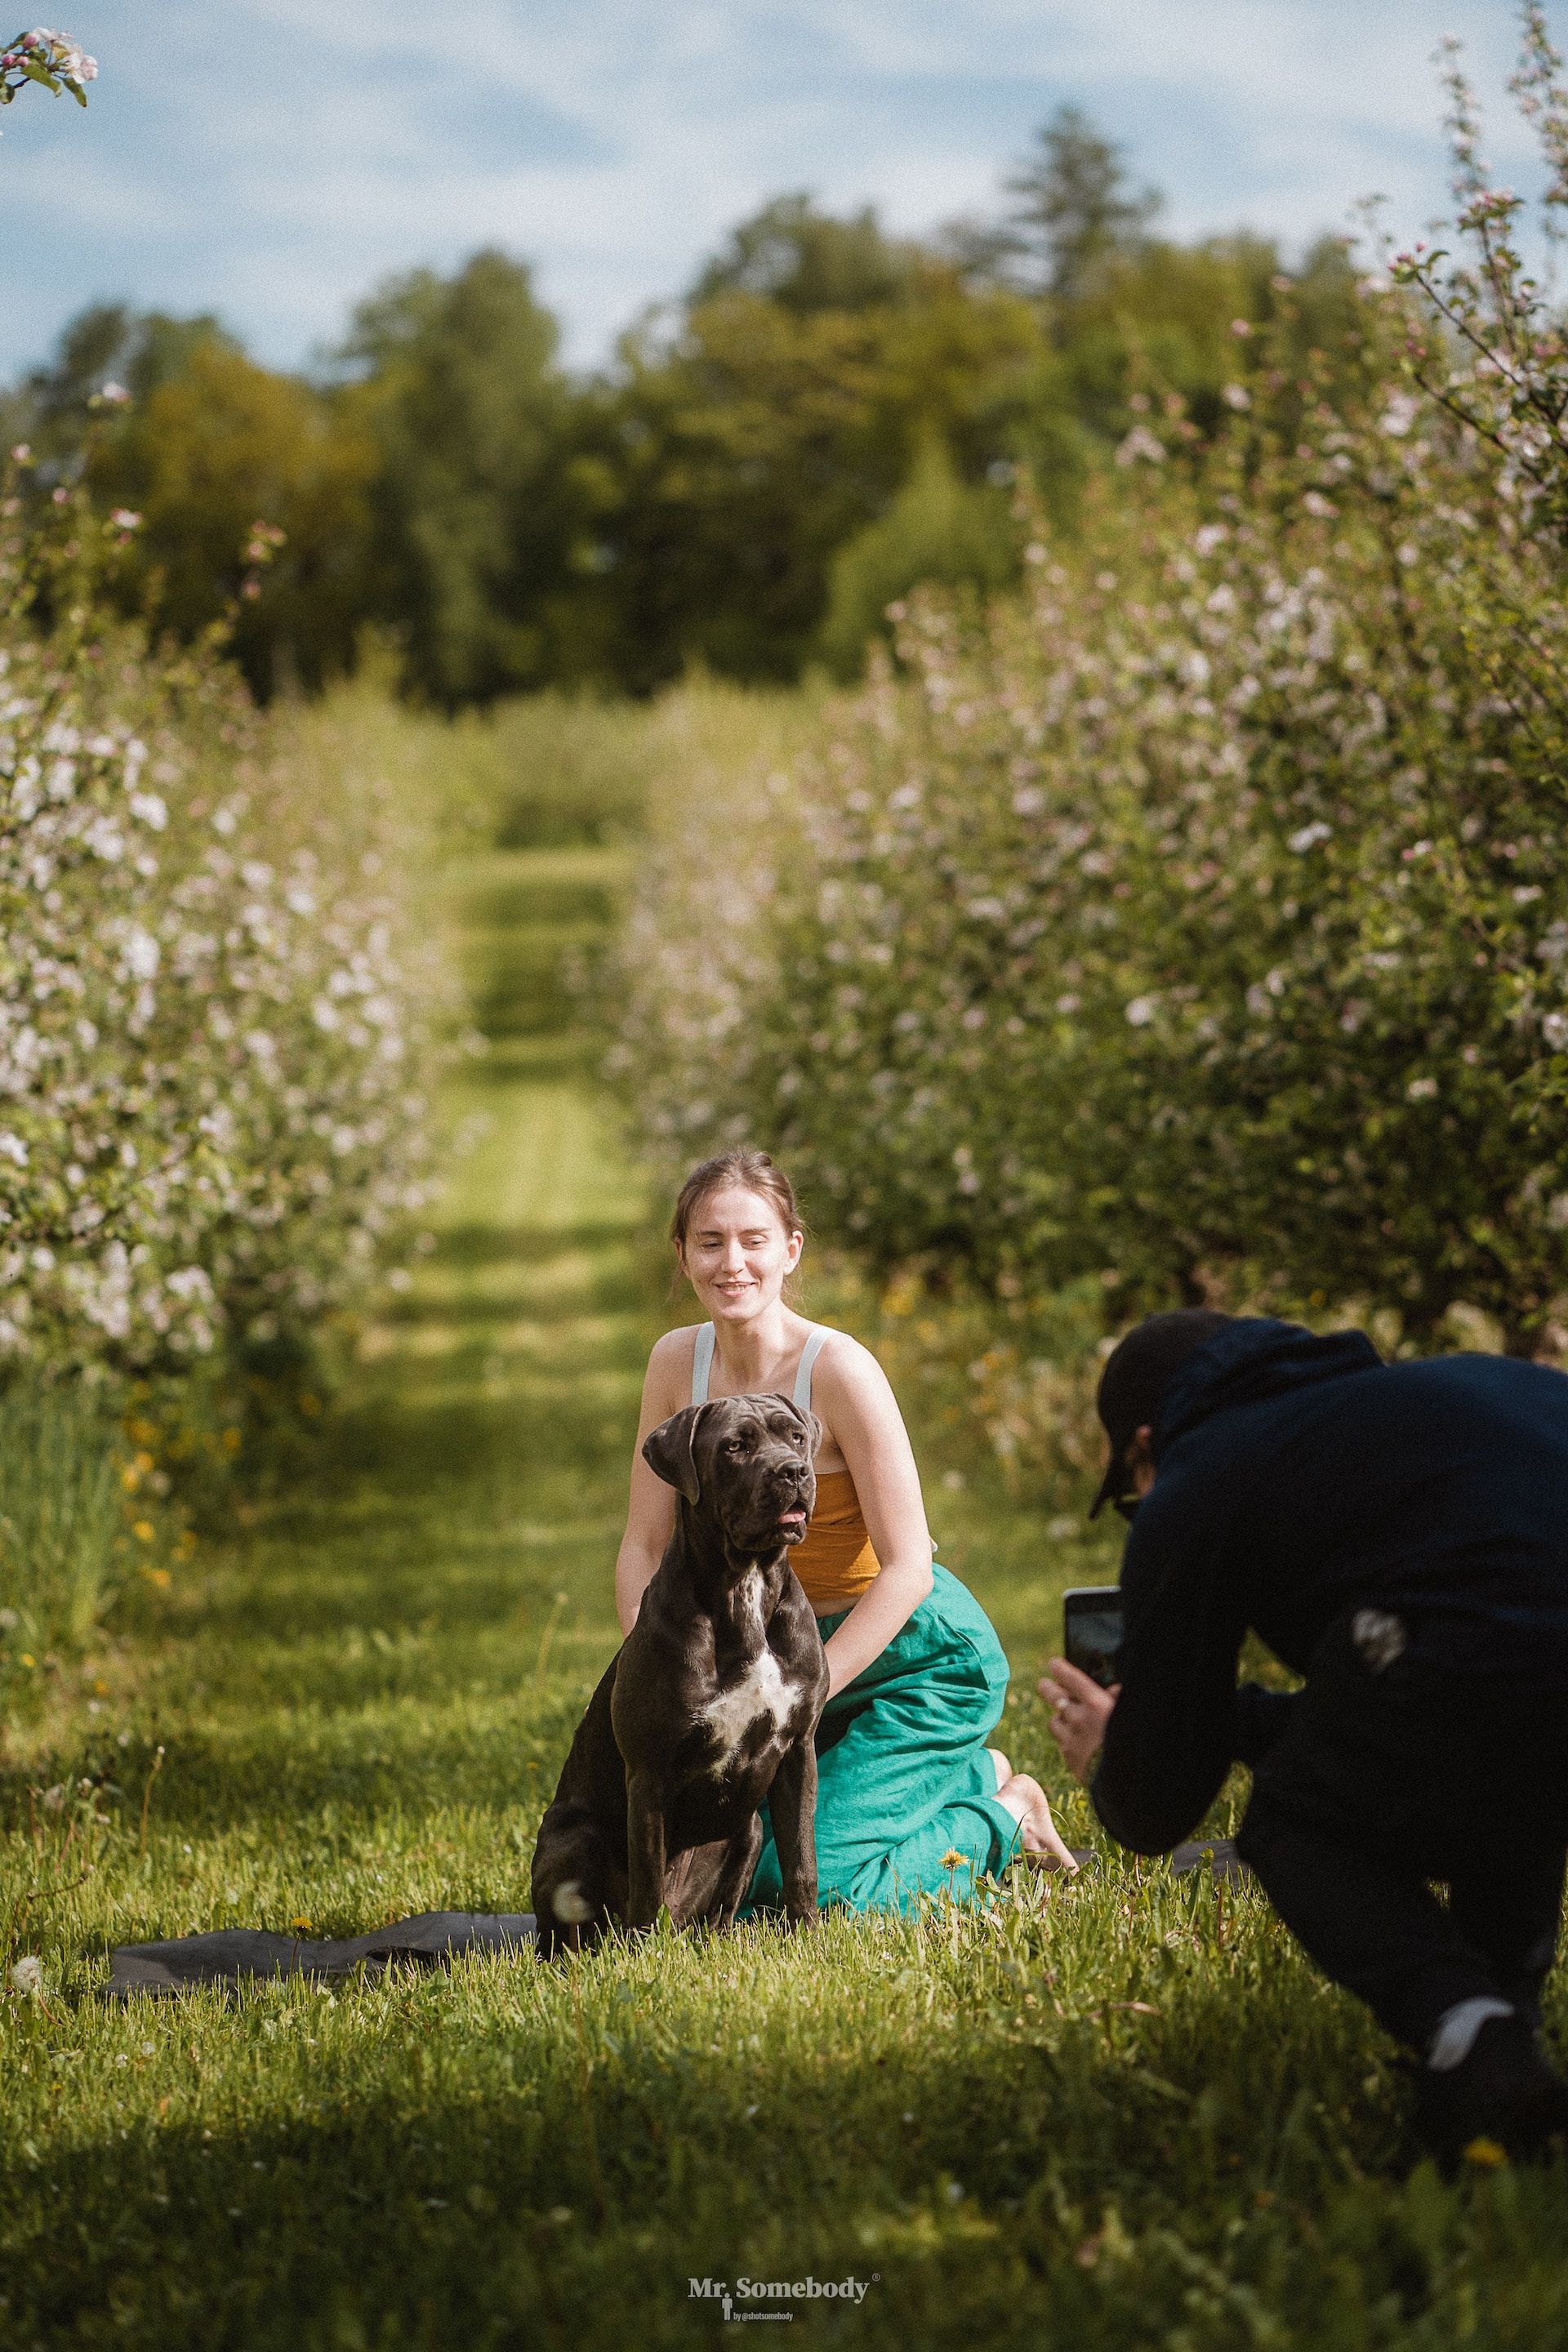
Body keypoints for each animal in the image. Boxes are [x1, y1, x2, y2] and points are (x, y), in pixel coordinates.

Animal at [531, 1383, 832, 1957]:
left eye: (796, 1437)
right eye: (734, 1446)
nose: (793, 1472)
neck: (745, 1586)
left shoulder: (797, 1753)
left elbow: (802, 1859)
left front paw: (807, 1934)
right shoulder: (649, 1773)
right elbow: (648, 1877)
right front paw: (642, 1956)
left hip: (748, 1831)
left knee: (720, 1903)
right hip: (573, 1835)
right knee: (572, 1928)